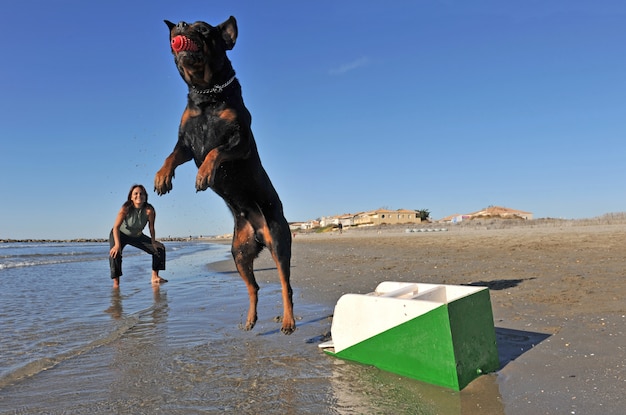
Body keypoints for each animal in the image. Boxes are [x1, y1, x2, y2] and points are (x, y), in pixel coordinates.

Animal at [155, 17, 294, 334]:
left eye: (203, 29)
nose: (180, 24)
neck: (207, 93)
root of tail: (259, 232)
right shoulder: (185, 142)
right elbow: (171, 156)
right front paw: (162, 178)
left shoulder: (239, 141)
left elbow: (215, 152)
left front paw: (204, 175)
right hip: (239, 253)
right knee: (254, 287)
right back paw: (250, 319)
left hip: (280, 241)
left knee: (285, 284)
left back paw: (289, 321)